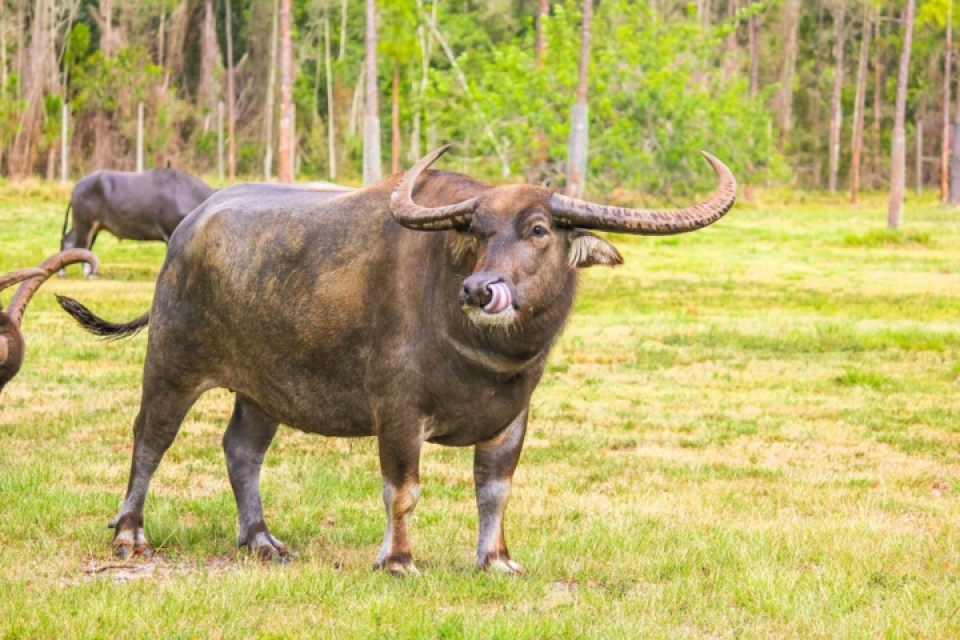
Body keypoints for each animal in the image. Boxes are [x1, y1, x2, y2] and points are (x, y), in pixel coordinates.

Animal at [61, 168, 215, 276]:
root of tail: (76, 188)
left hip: (91, 225)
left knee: (72, 242)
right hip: (84, 223)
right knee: (81, 245)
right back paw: (86, 273)